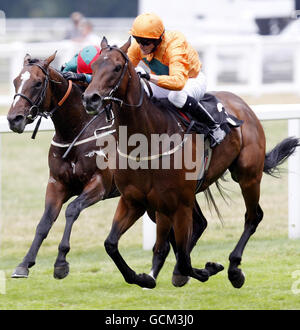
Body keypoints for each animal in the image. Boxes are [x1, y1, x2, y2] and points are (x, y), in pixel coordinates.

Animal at [82, 36, 300, 288]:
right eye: (94, 66)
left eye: (117, 67)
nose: (90, 98)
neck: (149, 140)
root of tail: (241, 104)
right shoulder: (134, 201)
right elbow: (111, 244)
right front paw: (144, 277)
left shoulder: (178, 205)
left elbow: (184, 258)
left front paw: (206, 269)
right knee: (195, 228)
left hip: (247, 176)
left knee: (252, 217)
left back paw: (234, 269)